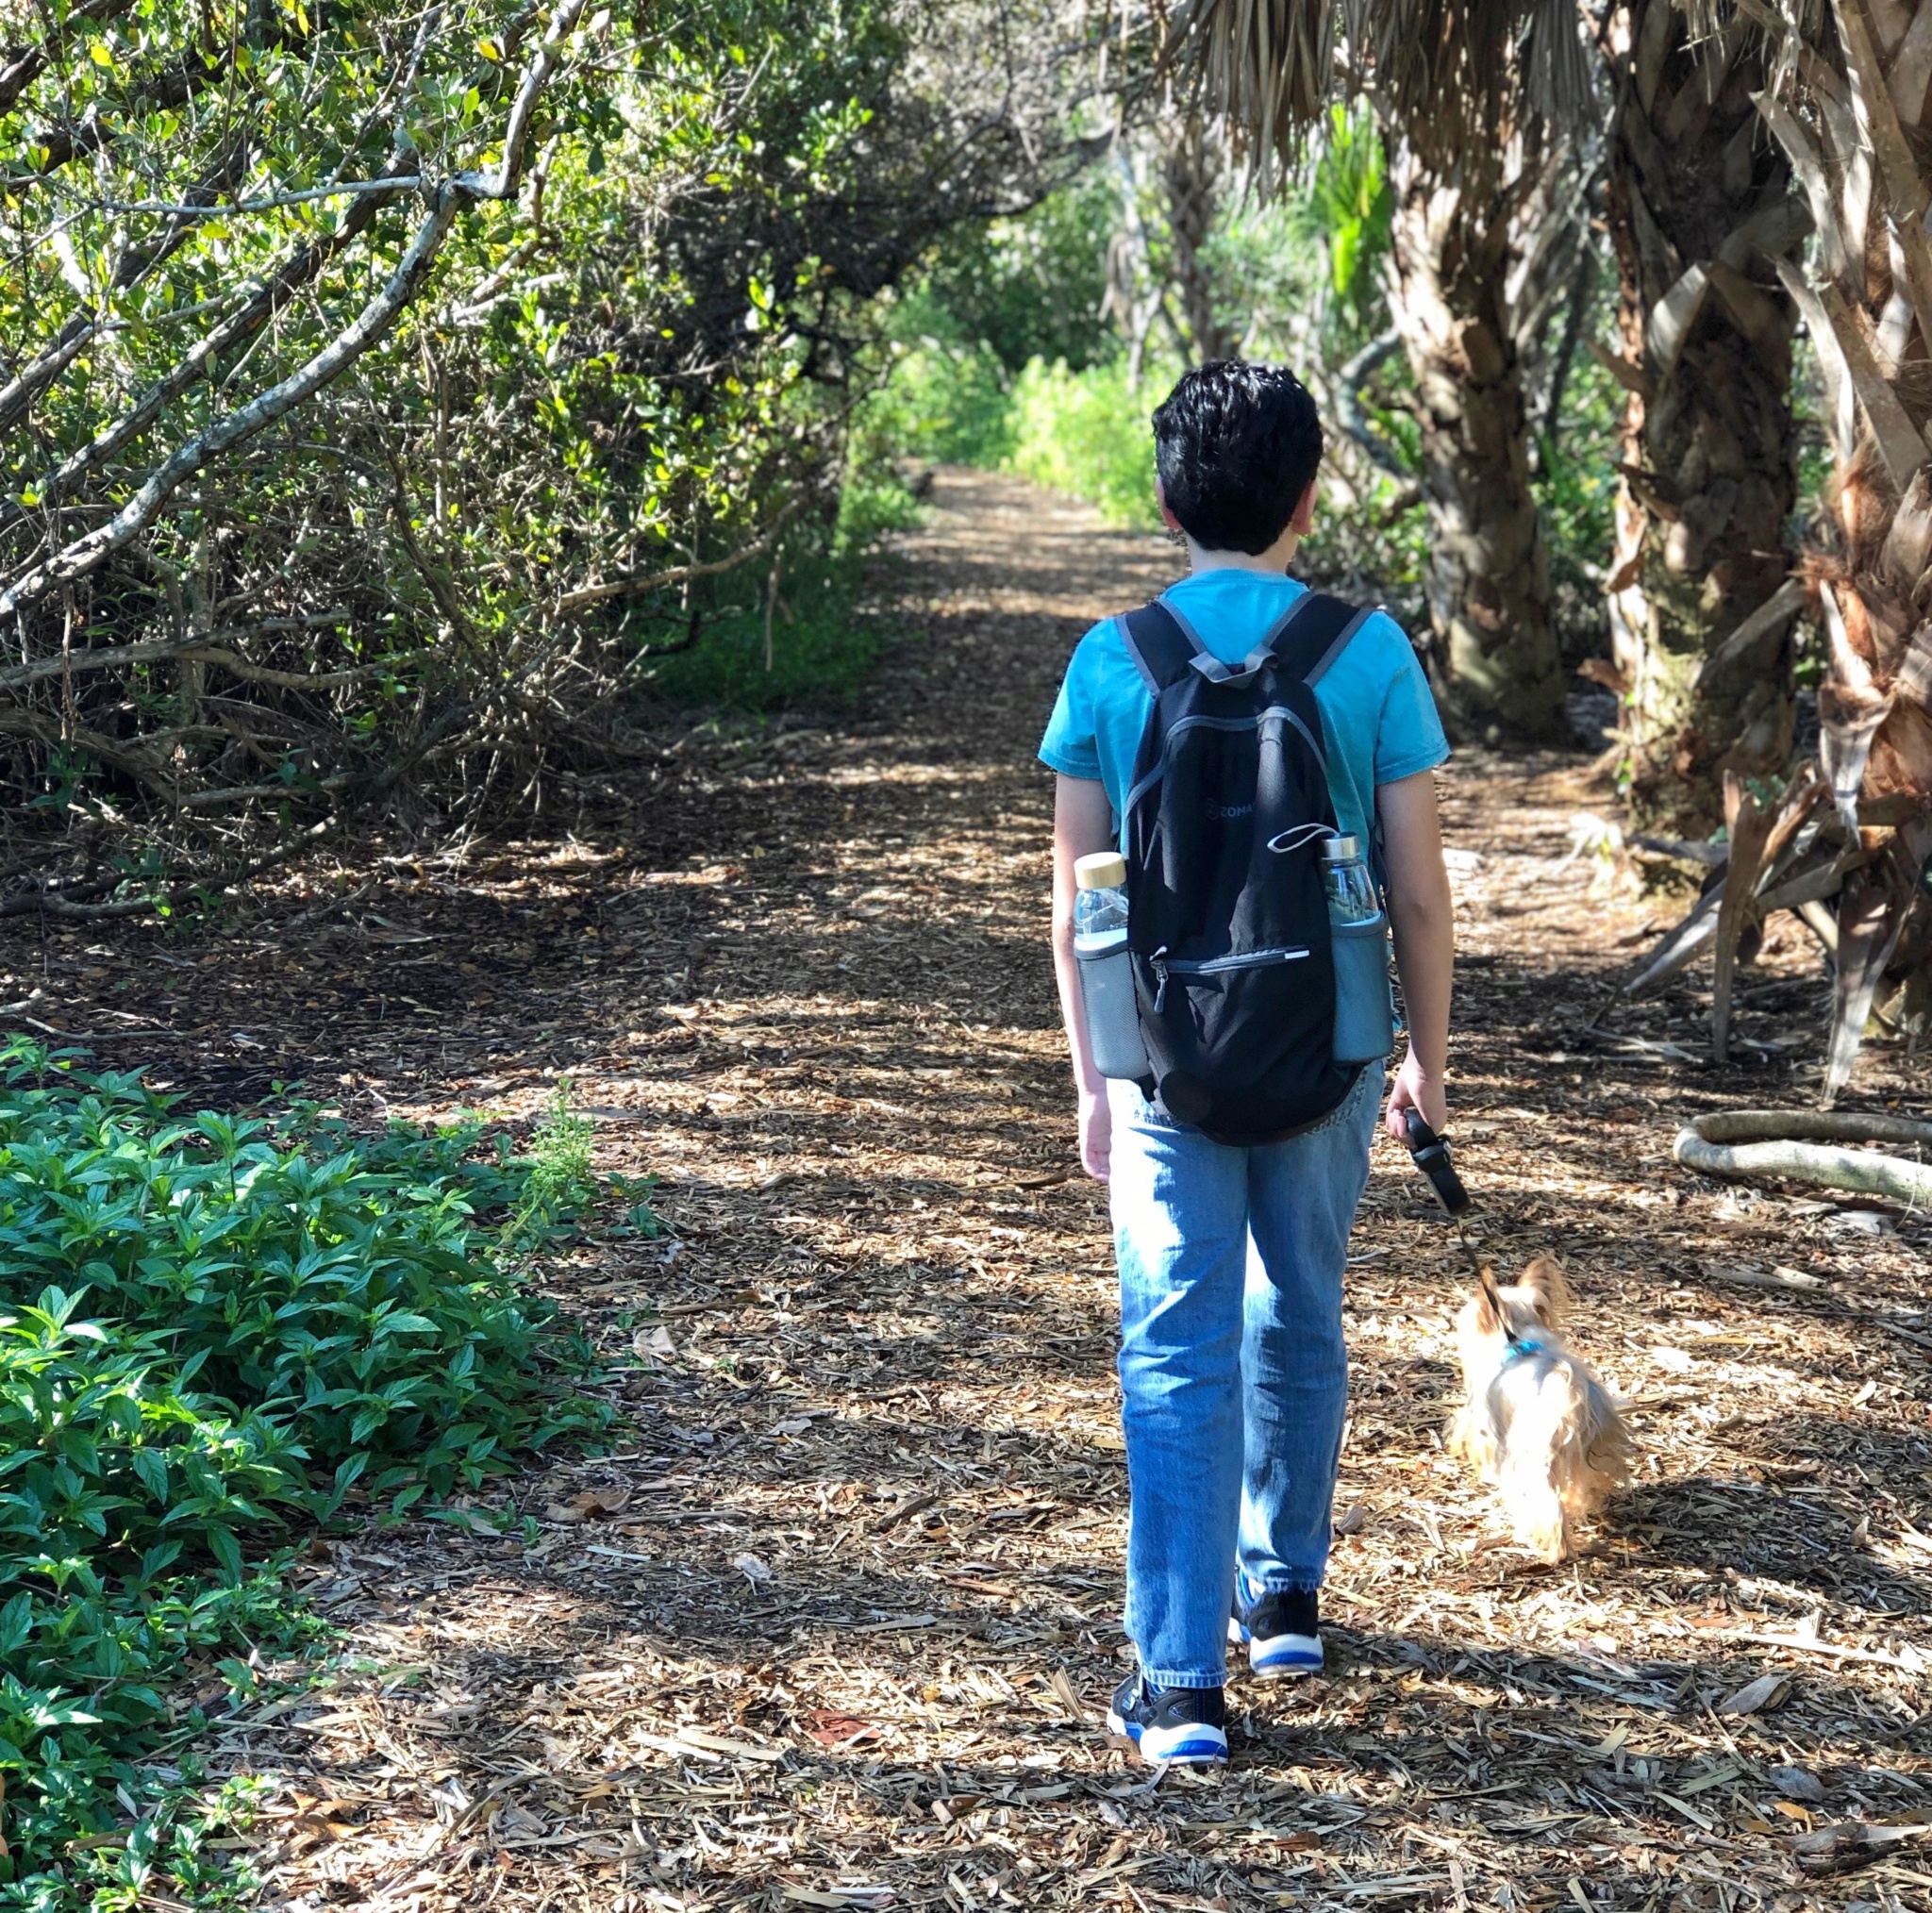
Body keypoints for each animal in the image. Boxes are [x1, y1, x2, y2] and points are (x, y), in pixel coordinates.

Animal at [1444, 1267, 1638, 1561]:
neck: (1516, 1338)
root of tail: (1569, 1395)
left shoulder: (1487, 1428)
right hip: (1598, 1448)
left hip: (1531, 1459)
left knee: (1548, 1505)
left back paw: (1554, 1549)